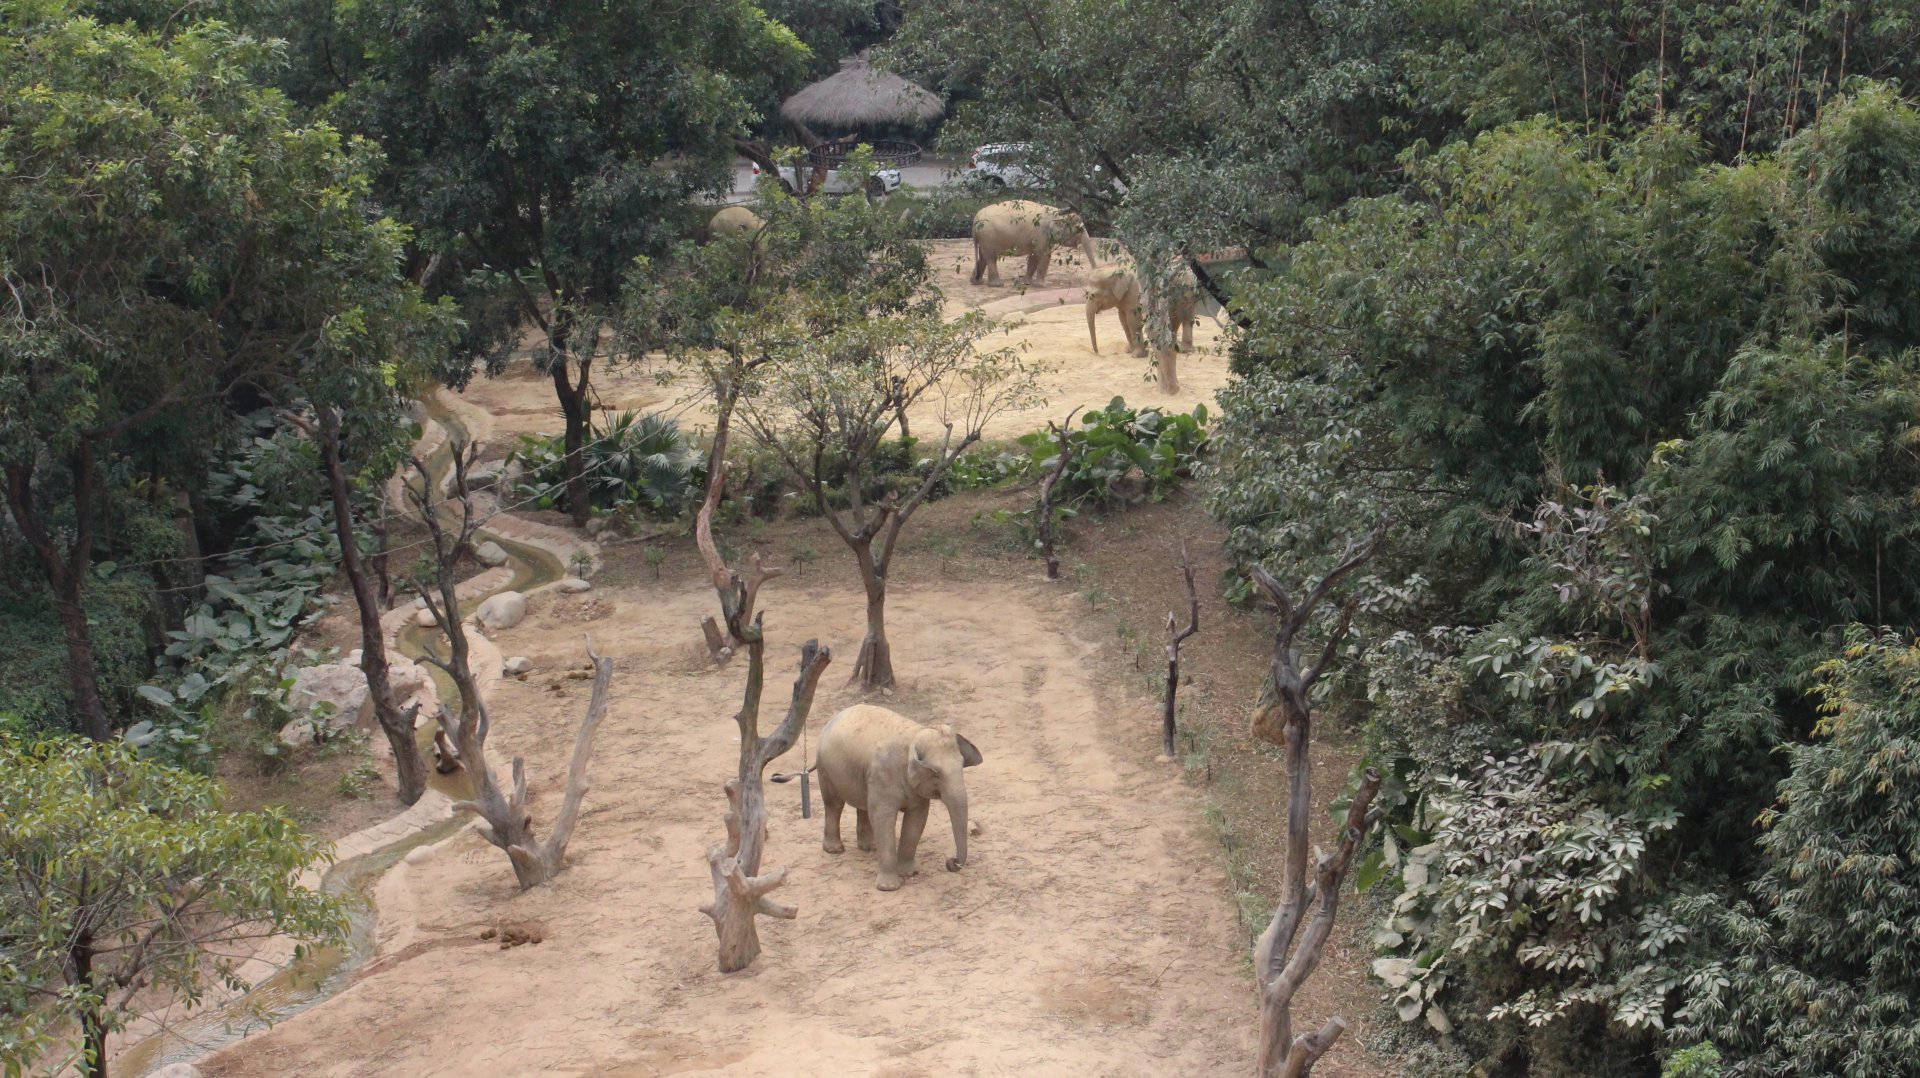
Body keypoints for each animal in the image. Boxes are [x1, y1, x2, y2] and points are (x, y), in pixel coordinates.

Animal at [816, 704, 981, 891]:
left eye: (962, 765)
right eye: (936, 774)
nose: (951, 861)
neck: (915, 735)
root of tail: (836, 716)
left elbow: (917, 819)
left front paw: (909, 873)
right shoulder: (883, 776)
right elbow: (883, 818)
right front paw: (889, 887)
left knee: (863, 806)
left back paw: (870, 847)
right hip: (825, 769)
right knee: (834, 804)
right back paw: (835, 850)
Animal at [971, 199, 1100, 286]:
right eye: (1078, 230)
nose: (1093, 275)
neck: (1055, 212)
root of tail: (976, 219)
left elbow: (1033, 257)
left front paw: (1026, 282)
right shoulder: (1041, 235)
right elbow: (1044, 256)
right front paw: (1044, 285)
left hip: (983, 239)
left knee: (983, 258)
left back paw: (976, 281)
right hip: (988, 237)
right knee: (991, 258)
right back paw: (997, 284)